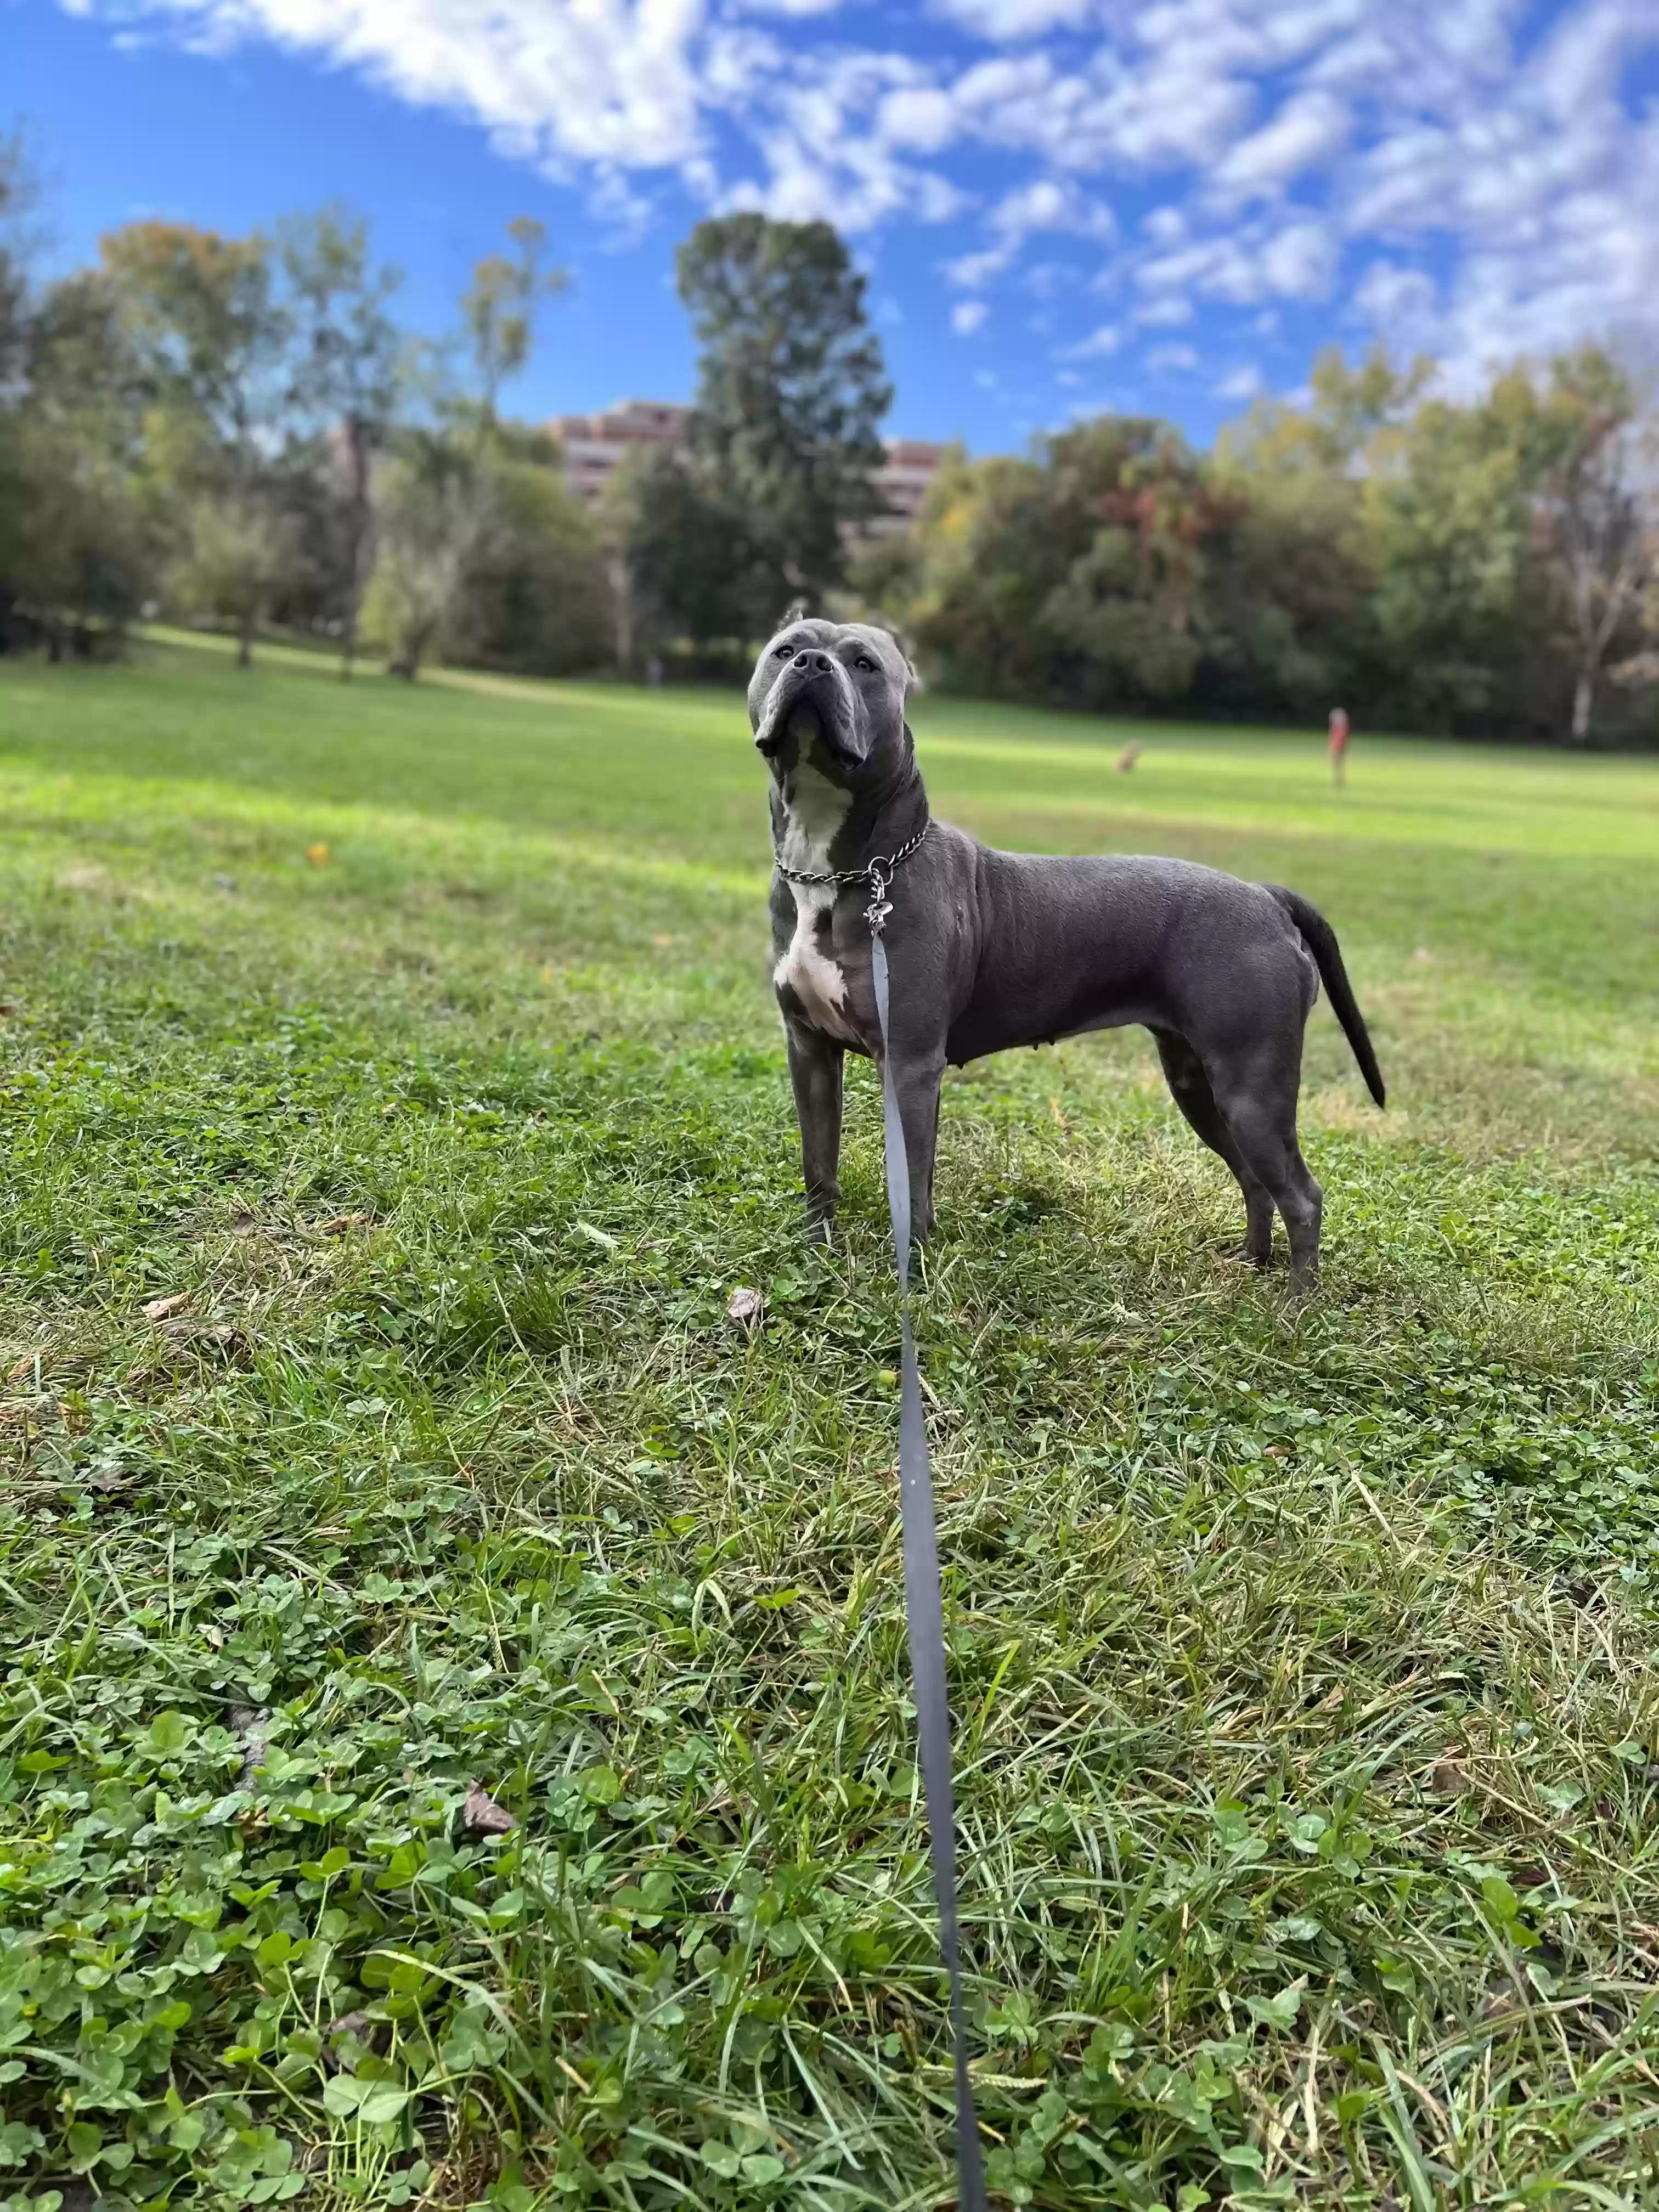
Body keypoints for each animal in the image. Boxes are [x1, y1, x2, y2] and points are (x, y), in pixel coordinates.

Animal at [756, 619, 1389, 1283]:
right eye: (785, 649)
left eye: (864, 664)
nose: (812, 663)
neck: (846, 873)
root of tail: (1265, 896)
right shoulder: (810, 1051)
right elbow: (819, 1167)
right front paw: (815, 1256)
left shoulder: (908, 1063)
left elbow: (911, 1189)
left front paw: (913, 1281)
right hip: (1200, 1084)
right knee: (1254, 1178)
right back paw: (1252, 1263)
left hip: (1252, 1090)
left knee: (1302, 1196)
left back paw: (1294, 1301)